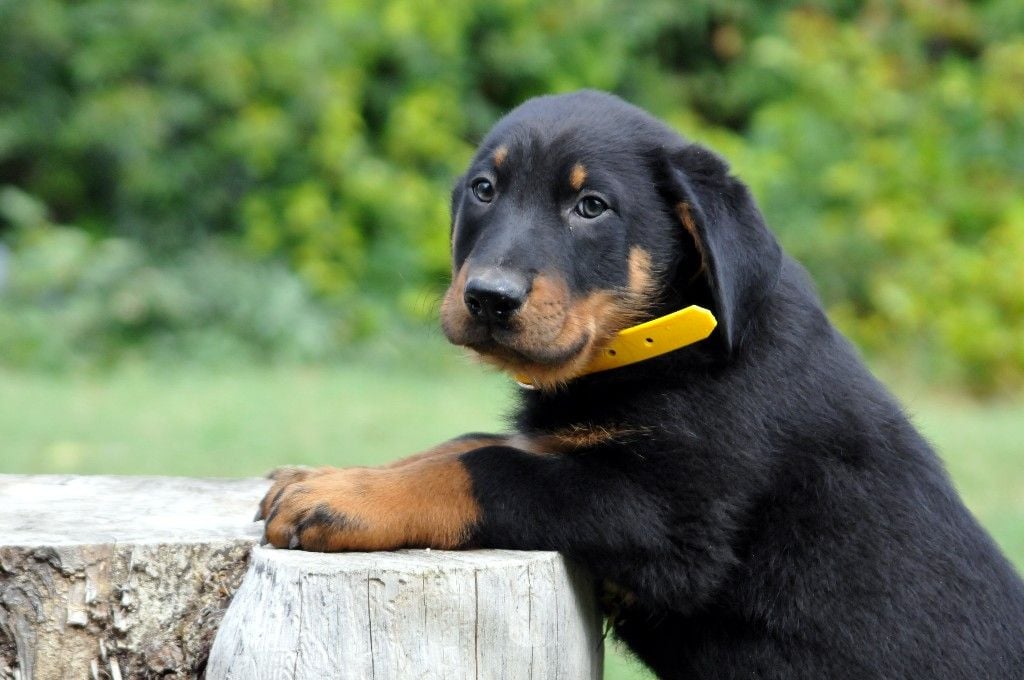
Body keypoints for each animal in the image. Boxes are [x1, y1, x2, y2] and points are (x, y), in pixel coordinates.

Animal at [257, 90, 1024, 679]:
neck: (662, 338)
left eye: (591, 206)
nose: (488, 298)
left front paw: (346, 499)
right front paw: (319, 473)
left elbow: (487, 467)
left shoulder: (667, 519)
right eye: (484, 190)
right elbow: (470, 441)